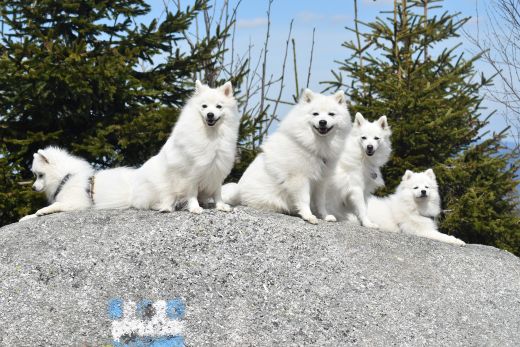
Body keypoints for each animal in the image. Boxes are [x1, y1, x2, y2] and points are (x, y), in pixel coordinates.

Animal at [140, 80, 242, 213]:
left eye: (219, 106)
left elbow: (217, 192)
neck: (211, 135)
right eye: (204, 106)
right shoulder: (191, 173)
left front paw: (220, 205)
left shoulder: (217, 169)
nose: (210, 114)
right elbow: (192, 193)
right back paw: (166, 207)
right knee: (161, 199)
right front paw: (194, 207)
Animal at [221, 89, 352, 224]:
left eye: (331, 114)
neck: (316, 146)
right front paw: (308, 216)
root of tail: (239, 191)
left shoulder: (321, 181)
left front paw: (325, 216)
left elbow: (320, 202)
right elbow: (305, 199)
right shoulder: (299, 178)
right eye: (315, 114)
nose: (322, 122)